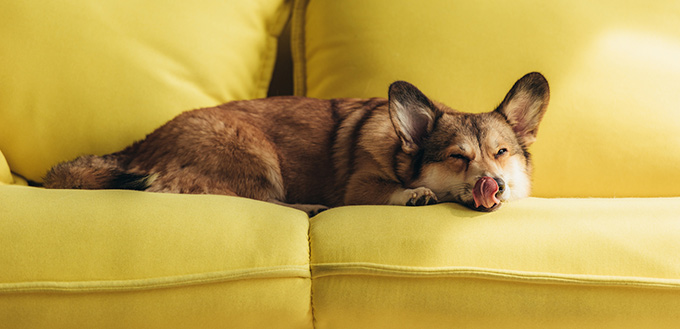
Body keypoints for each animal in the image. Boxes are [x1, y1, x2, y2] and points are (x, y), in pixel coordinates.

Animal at [45, 72, 548, 215]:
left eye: (501, 153)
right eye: (457, 158)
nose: (496, 184)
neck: (399, 149)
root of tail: (139, 145)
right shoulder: (361, 186)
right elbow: (392, 189)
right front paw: (416, 193)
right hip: (255, 155)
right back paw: (309, 207)